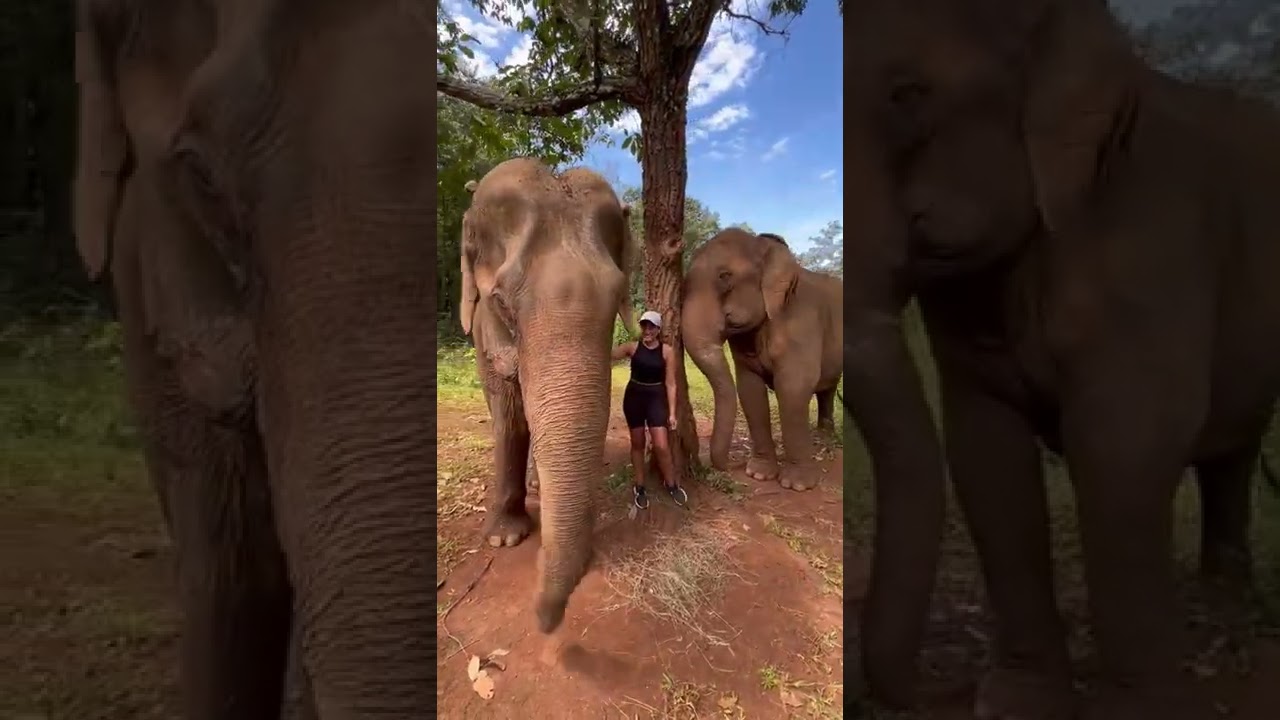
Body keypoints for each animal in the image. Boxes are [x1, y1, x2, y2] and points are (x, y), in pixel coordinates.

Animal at [683, 229, 843, 491]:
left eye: (725, 276)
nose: (732, 464)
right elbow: (750, 390)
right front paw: (758, 474)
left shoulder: (801, 322)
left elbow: (792, 388)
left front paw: (796, 485)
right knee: (827, 389)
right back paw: (824, 438)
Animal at [844, 0, 1280, 718]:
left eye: (908, 95)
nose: (951, 684)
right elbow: (987, 452)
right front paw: (1016, 699)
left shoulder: (1150, 233)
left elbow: (1123, 443)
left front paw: (1141, 709)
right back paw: (1223, 604)